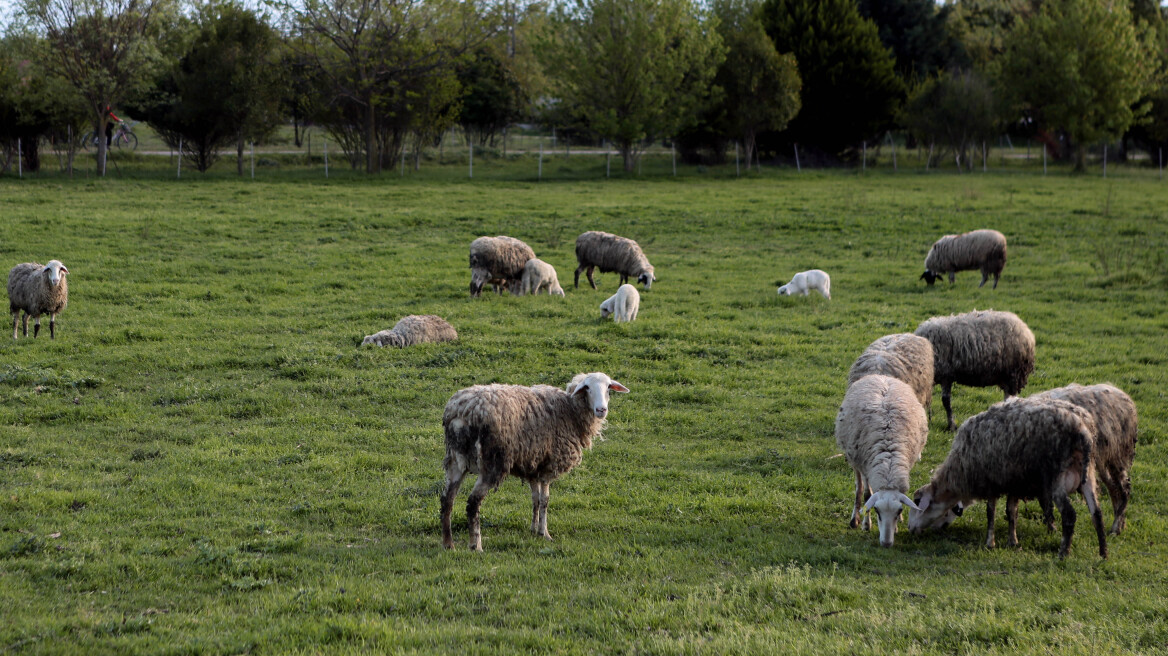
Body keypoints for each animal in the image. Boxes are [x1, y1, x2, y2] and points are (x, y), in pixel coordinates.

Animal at [439, 371, 630, 548]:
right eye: (588, 387)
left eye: (608, 387)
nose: (601, 410)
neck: (570, 410)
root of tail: (462, 412)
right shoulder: (549, 466)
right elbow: (545, 499)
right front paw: (544, 533)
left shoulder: (532, 464)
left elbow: (535, 498)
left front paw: (534, 529)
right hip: (492, 462)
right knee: (473, 503)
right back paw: (476, 546)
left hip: (455, 461)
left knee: (447, 499)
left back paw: (449, 544)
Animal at [836, 373, 925, 546]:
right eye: (877, 510)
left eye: (899, 510)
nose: (886, 543)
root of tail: (880, 376)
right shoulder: (865, 467)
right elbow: (867, 496)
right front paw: (866, 524)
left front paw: (897, 526)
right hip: (854, 459)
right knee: (859, 488)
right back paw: (855, 519)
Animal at [906, 392, 1107, 555]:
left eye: (917, 502)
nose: (909, 528)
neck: (960, 472)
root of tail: (1082, 429)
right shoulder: (1013, 481)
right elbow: (1012, 512)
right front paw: (1013, 541)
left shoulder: (990, 481)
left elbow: (991, 513)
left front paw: (990, 543)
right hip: (1087, 474)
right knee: (1097, 512)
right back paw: (1103, 553)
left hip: (1056, 478)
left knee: (1069, 515)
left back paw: (1063, 553)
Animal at [1037, 380, 1135, 534]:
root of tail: (1122, 395)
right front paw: (1051, 528)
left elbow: (1045, 501)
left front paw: (1052, 528)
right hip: (1102, 458)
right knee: (1113, 488)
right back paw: (1120, 525)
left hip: (1116, 453)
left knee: (1124, 488)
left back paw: (1115, 527)